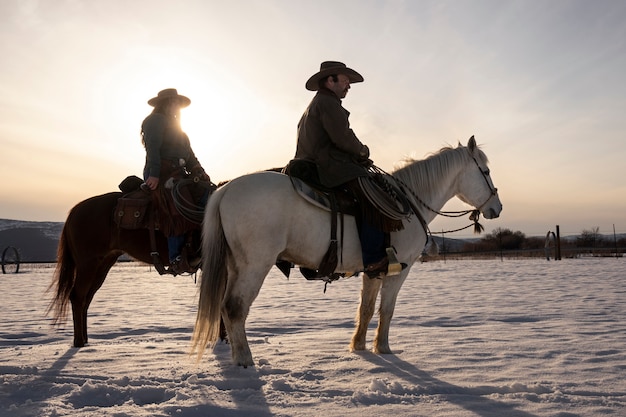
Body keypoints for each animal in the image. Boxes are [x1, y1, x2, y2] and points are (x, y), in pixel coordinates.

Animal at [48, 190, 200, 346]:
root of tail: (75, 210)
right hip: (87, 265)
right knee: (77, 297)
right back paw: (78, 341)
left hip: (102, 265)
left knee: (87, 298)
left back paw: (85, 340)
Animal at [193, 136, 500, 364]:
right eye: (485, 171)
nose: (497, 208)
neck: (409, 205)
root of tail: (226, 189)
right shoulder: (399, 270)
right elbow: (387, 309)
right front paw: (384, 348)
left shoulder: (374, 270)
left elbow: (366, 308)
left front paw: (360, 346)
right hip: (255, 264)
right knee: (234, 307)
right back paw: (246, 360)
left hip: (235, 265)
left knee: (225, 309)